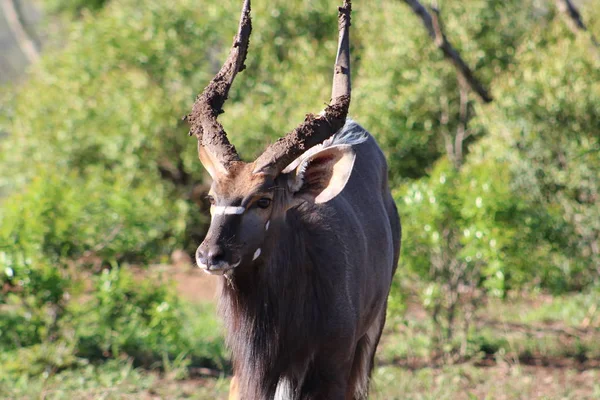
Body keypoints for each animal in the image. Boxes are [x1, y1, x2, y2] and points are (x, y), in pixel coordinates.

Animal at [185, 1, 400, 398]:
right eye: (211, 197)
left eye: (263, 200)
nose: (209, 256)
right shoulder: (247, 376)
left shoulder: (333, 370)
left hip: (371, 333)